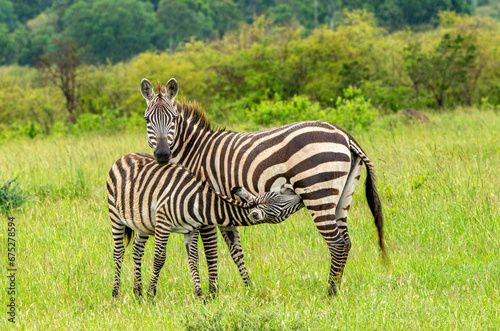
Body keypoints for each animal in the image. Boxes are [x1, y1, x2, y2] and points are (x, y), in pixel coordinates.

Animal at [107, 153, 300, 300]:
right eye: (279, 202)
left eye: (276, 195)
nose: (297, 194)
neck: (200, 202)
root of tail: (126, 156)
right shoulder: (163, 222)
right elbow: (159, 259)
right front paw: (151, 294)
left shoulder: (190, 228)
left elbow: (194, 259)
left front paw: (199, 294)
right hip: (115, 214)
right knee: (118, 252)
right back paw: (116, 292)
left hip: (143, 222)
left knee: (137, 249)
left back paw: (137, 290)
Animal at [141, 78, 386, 296]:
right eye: (147, 120)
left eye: (173, 119)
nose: (162, 155)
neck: (194, 151)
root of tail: (344, 135)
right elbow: (235, 250)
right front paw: (248, 288)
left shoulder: (205, 203)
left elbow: (211, 250)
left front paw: (212, 293)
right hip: (343, 196)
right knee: (346, 242)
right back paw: (337, 287)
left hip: (317, 191)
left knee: (336, 243)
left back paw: (330, 292)